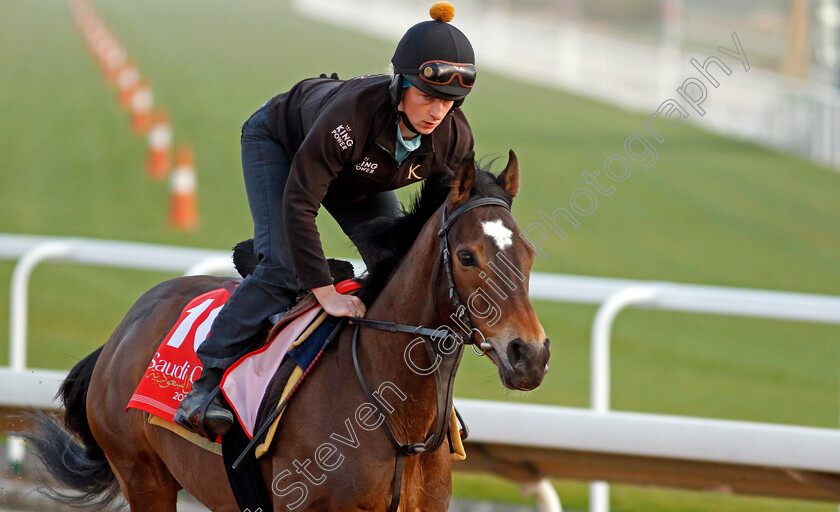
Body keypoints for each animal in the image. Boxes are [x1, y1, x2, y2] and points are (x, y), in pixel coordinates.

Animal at [24, 150, 552, 510]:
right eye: (466, 256)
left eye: (528, 253)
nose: (530, 354)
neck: (396, 417)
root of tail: (124, 328)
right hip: (142, 474)